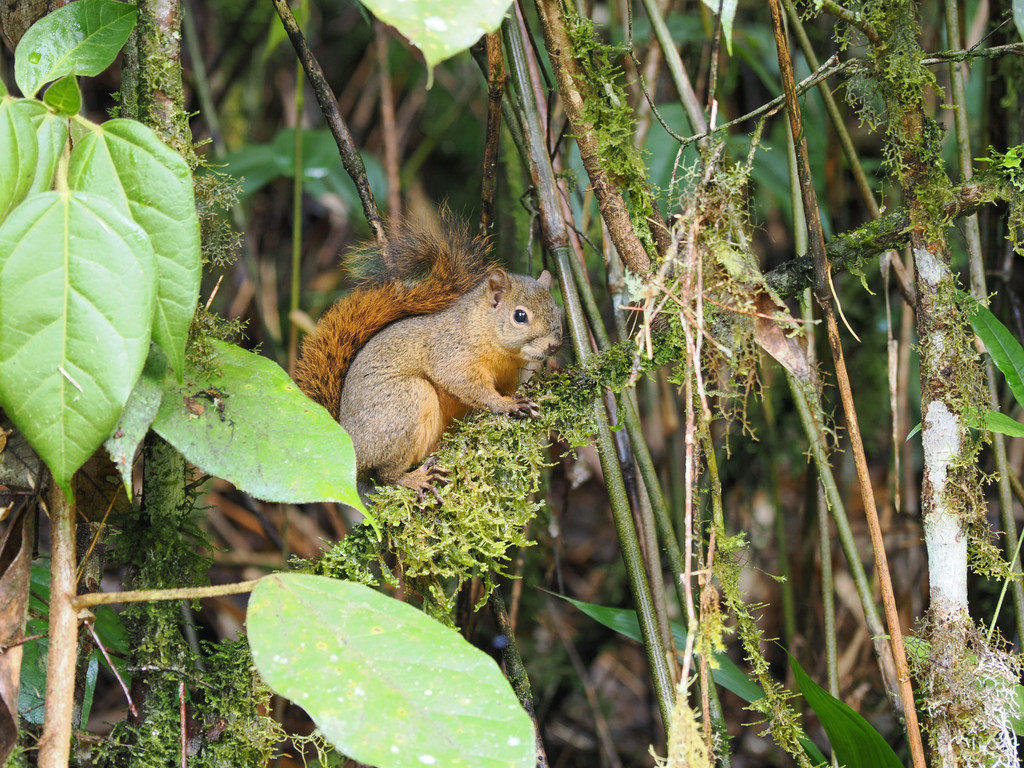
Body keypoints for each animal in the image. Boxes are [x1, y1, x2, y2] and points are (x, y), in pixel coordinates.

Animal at [294, 217, 569, 501]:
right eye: (520, 316)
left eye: (555, 307)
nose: (554, 344)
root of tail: (347, 441)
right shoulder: (451, 353)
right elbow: (466, 384)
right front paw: (505, 404)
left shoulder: (507, 373)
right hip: (407, 402)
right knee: (386, 475)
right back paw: (415, 479)